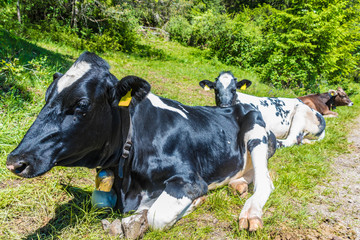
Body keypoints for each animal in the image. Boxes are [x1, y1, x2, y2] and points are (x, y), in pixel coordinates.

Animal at [6, 52, 276, 232]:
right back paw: (238, 184)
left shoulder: (191, 180)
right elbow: (99, 201)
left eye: (81, 105)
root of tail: (235, 105)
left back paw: (251, 212)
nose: (14, 161)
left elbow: (156, 216)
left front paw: (196, 201)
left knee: (265, 181)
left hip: (257, 132)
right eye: (46, 97)